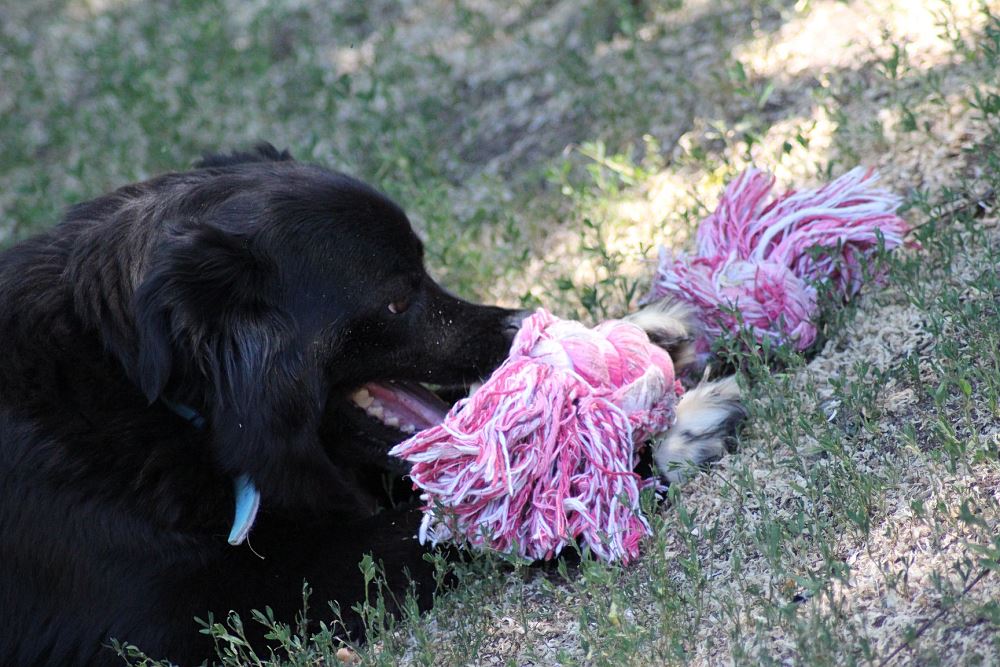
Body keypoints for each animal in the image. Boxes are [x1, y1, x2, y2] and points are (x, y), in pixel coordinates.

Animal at [0, 144, 742, 665]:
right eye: (396, 298)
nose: (526, 330)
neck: (153, 402)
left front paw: (646, 339)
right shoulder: (229, 601)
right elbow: (472, 518)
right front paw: (660, 441)